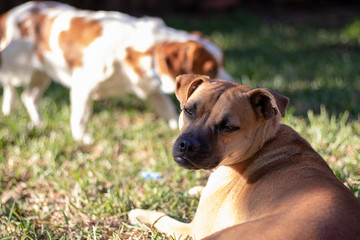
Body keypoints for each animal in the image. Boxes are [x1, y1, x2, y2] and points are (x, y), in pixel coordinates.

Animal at [0, 1, 232, 143]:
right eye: (211, 70)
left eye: (223, 63)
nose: (233, 82)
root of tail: (11, 13)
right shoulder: (83, 84)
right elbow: (80, 115)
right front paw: (81, 136)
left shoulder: (149, 89)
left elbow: (166, 108)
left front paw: (177, 126)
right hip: (17, 65)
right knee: (11, 85)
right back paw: (8, 109)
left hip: (42, 73)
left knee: (29, 96)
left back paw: (37, 122)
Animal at [129, 74, 360, 239]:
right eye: (188, 111)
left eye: (228, 127)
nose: (187, 146)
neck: (264, 142)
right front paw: (196, 189)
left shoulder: (193, 229)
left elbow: (162, 217)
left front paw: (140, 213)